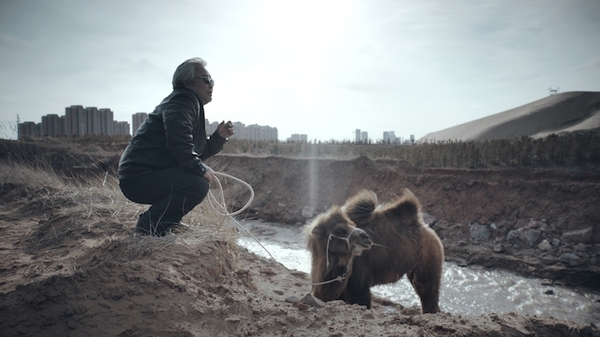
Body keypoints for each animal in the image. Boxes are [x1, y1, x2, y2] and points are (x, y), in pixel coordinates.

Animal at [308, 189, 442, 312]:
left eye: (353, 224)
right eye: (339, 230)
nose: (365, 237)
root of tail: (427, 229)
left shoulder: (358, 283)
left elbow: (362, 301)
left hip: (428, 259)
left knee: (426, 291)